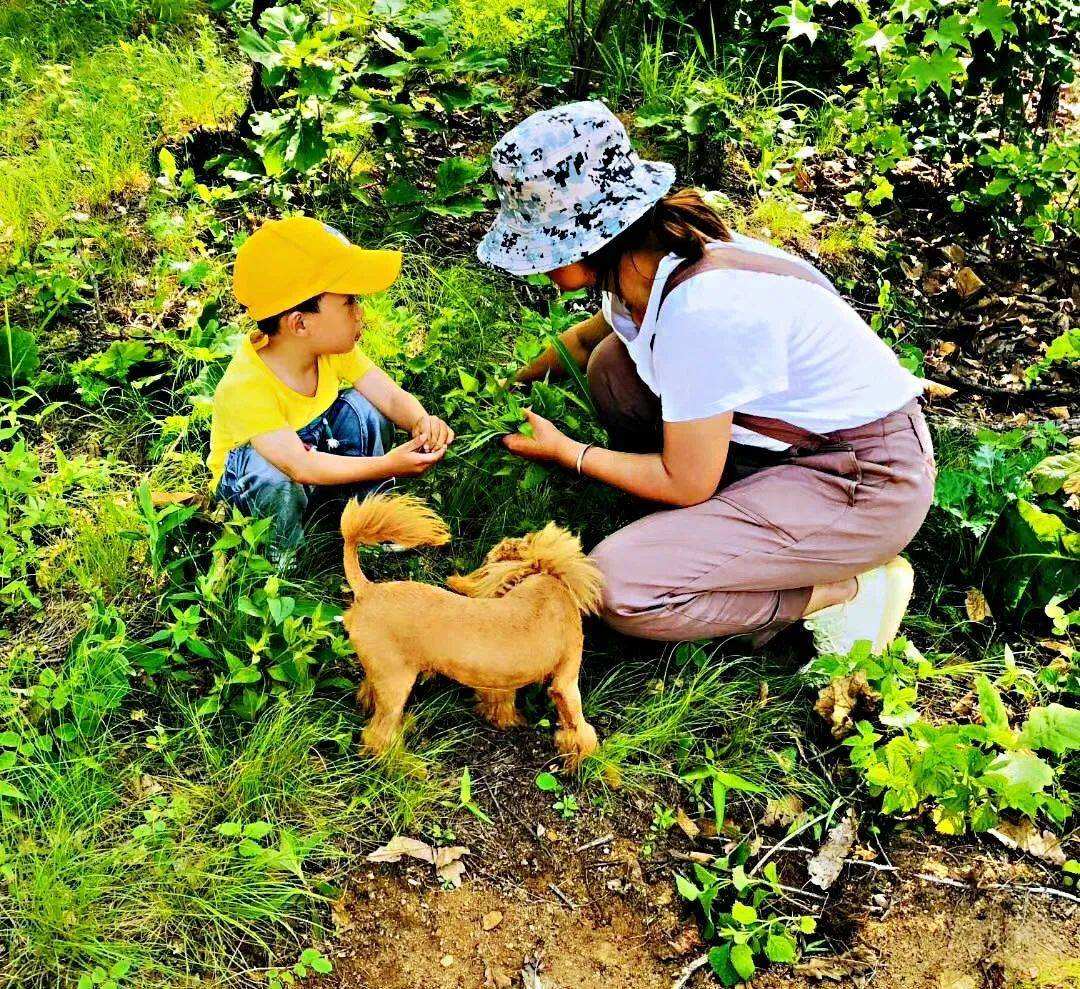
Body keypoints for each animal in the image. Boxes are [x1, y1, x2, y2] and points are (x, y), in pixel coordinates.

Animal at [341, 494, 604, 764]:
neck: (545, 585)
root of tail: (368, 589)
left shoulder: (501, 681)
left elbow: (502, 701)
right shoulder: (566, 680)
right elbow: (579, 725)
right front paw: (585, 756)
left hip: (383, 671)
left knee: (369, 695)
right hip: (396, 682)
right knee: (379, 734)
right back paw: (403, 763)